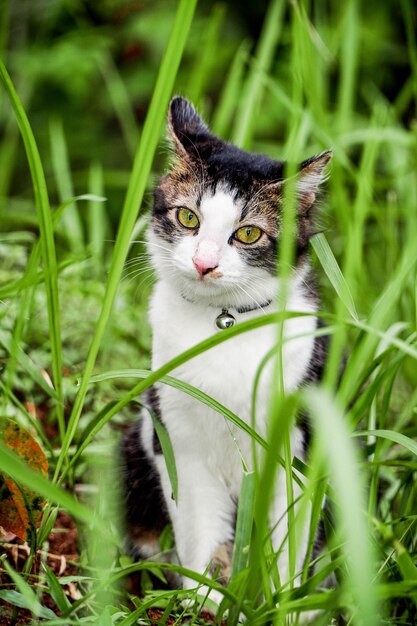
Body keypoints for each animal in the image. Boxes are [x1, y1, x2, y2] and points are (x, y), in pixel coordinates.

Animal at [121, 95, 332, 612]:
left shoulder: (299, 440)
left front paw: (284, 604)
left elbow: (291, 535)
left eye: (249, 234)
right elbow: (198, 525)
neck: (224, 323)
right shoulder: (176, 437)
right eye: (188, 218)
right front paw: (204, 596)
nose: (204, 263)